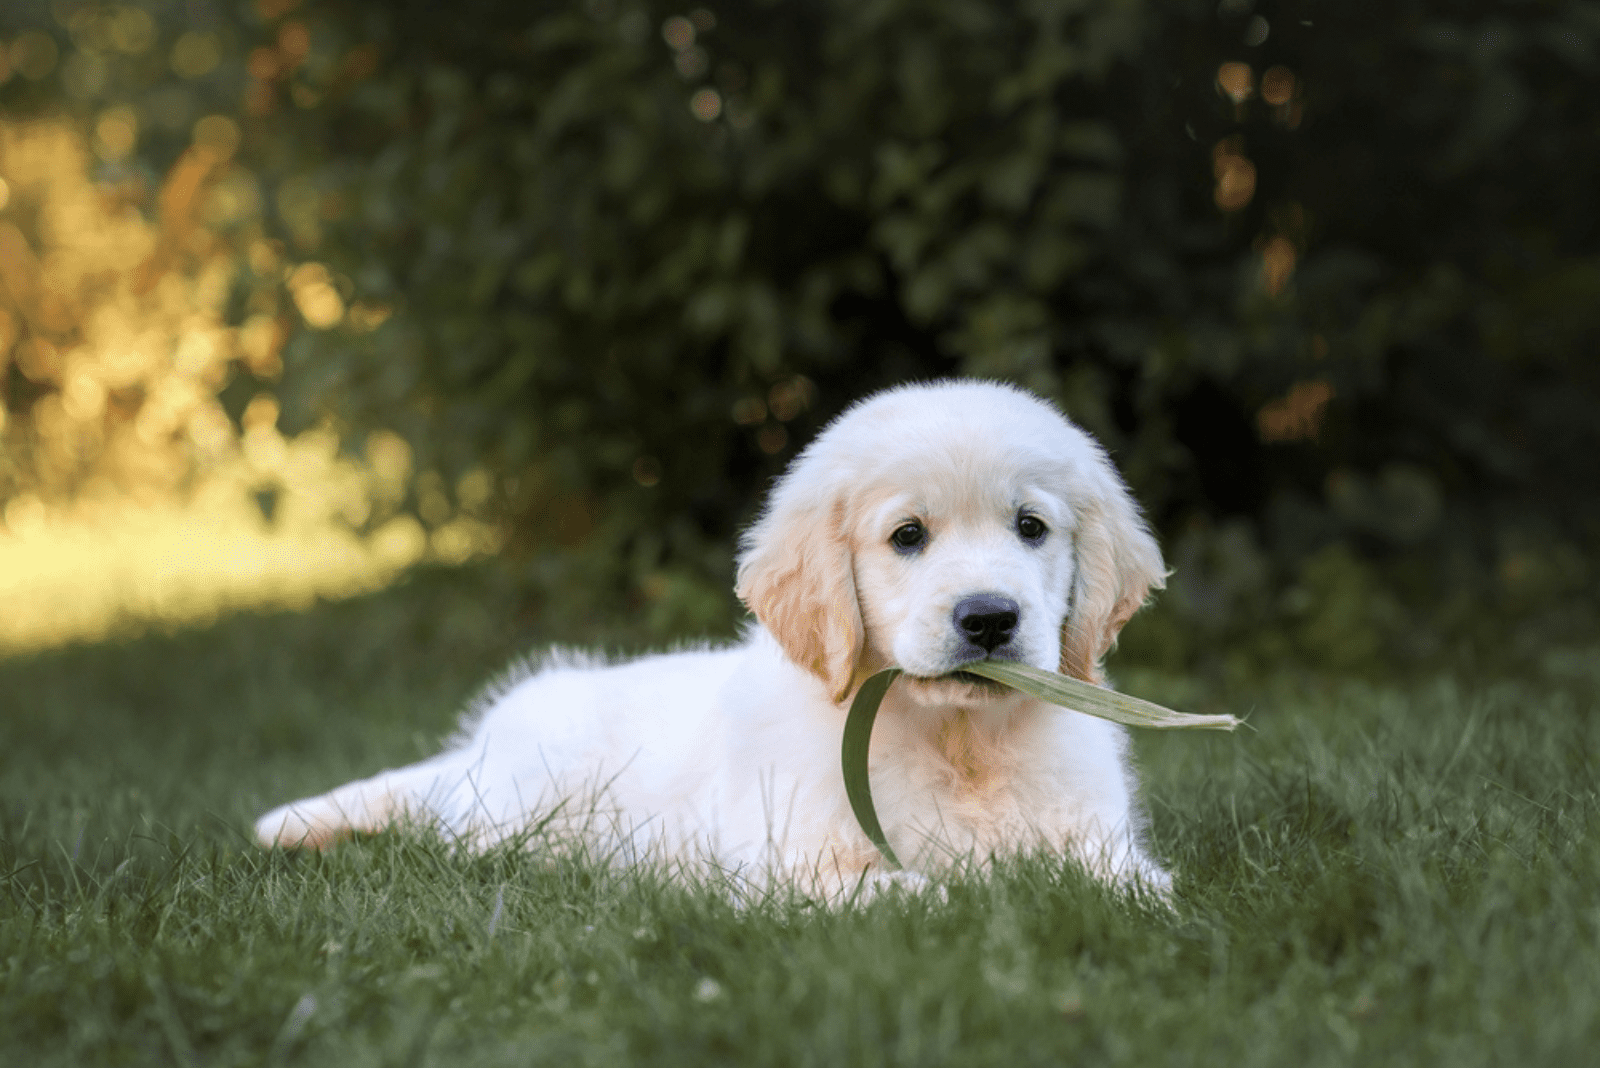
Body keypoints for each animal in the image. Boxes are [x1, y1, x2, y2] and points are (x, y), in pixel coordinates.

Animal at [256, 378, 1171, 895]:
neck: (957, 738)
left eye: (1031, 528)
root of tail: (479, 747)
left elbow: (1135, 889)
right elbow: (902, 894)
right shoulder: (784, 864)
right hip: (528, 811)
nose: (988, 618)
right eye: (908, 536)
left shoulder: (1097, 839)